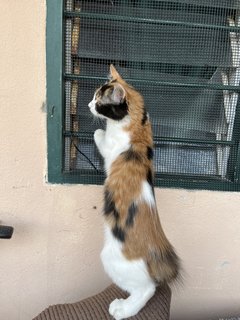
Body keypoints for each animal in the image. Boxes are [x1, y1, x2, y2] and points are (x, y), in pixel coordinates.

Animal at [88, 65, 180, 320]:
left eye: (99, 100)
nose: (88, 104)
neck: (138, 126)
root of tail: (156, 247)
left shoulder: (110, 147)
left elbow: (100, 137)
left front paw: (97, 131)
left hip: (111, 259)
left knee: (148, 288)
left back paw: (122, 309)